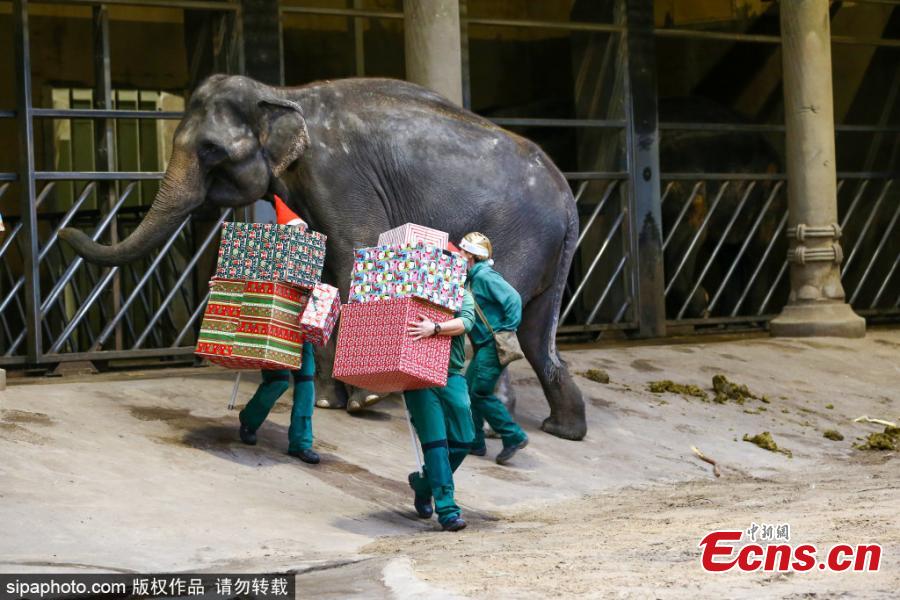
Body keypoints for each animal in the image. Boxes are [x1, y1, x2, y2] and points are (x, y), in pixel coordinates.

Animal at [59, 74, 587, 441]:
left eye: (210, 150)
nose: (66, 229)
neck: (282, 92)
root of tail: (566, 195)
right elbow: (324, 266)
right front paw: (334, 401)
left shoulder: (337, 175)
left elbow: (353, 257)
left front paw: (364, 397)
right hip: (545, 246)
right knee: (537, 333)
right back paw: (562, 430)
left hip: (518, 235)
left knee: (501, 323)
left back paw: (491, 424)